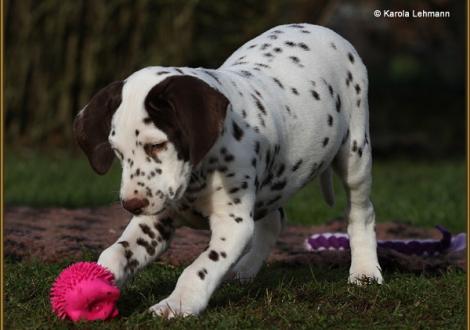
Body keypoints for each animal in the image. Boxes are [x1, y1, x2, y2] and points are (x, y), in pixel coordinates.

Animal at [73, 22, 382, 318]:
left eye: (157, 145)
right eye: (117, 152)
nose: (131, 205)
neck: (199, 173)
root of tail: (323, 30)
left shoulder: (233, 224)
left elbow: (199, 267)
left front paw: (178, 304)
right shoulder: (154, 222)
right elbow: (115, 253)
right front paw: (93, 285)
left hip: (355, 154)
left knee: (361, 212)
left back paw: (365, 271)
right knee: (274, 220)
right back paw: (245, 269)